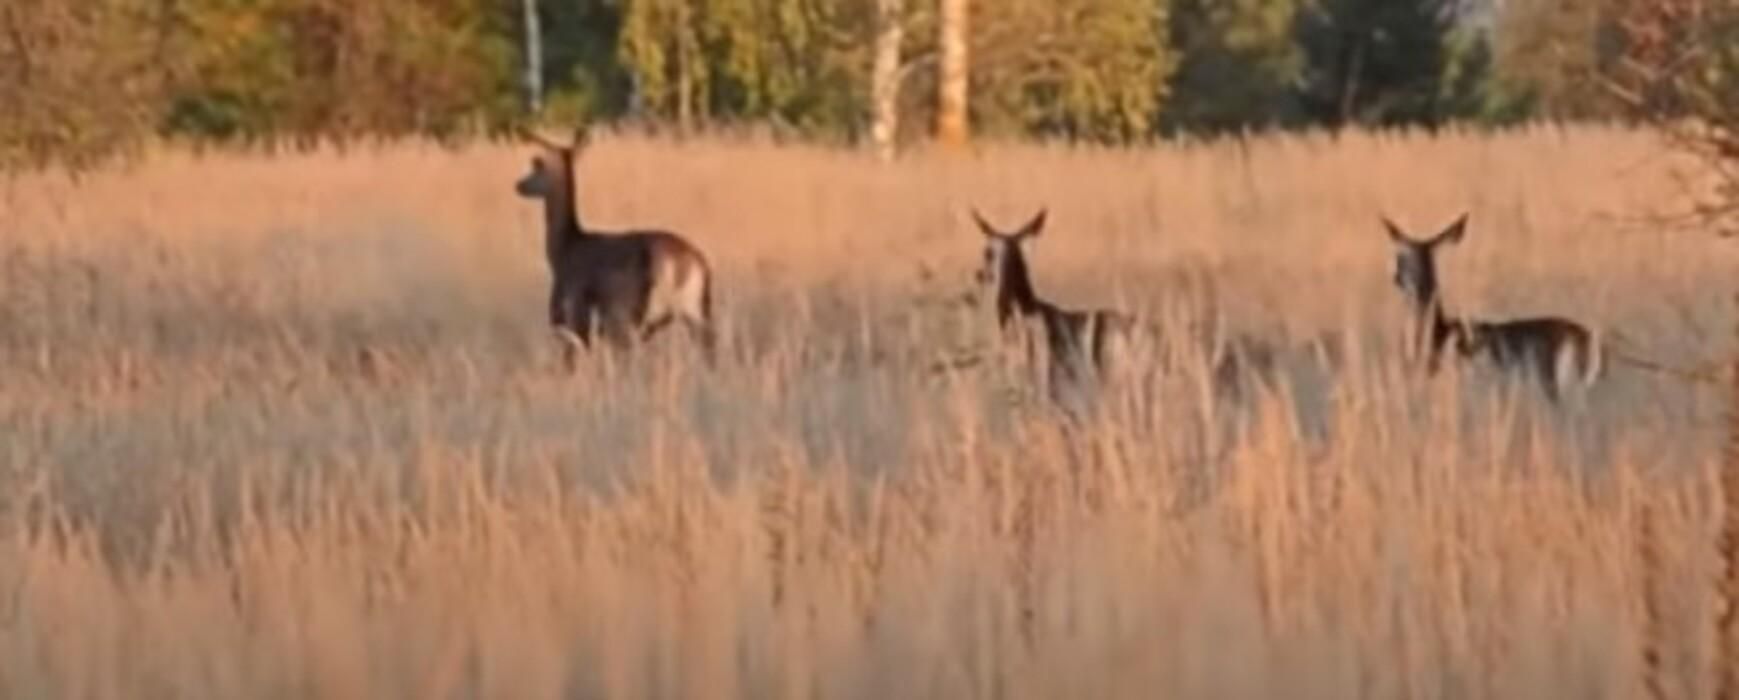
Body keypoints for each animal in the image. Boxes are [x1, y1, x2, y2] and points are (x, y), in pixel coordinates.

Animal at [511, 126, 716, 369]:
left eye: (537, 167)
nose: (518, 185)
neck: (565, 249)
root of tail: (696, 263)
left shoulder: (574, 319)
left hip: (628, 317)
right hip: (695, 312)